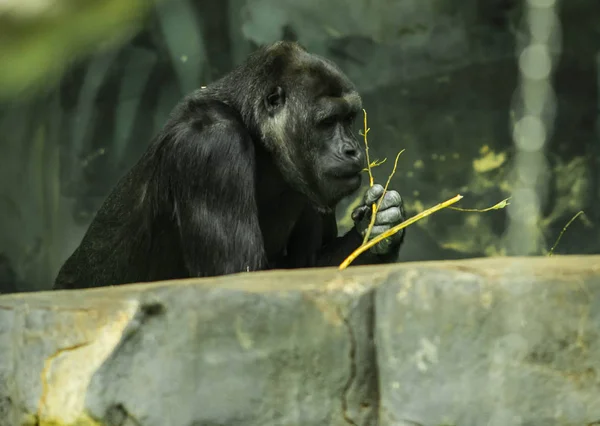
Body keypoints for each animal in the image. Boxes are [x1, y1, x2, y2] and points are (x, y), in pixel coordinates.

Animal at [54, 40, 406, 290]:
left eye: (349, 119)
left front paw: (379, 227)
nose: (352, 150)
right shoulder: (212, 144)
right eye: (328, 122)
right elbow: (241, 276)